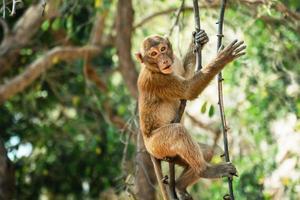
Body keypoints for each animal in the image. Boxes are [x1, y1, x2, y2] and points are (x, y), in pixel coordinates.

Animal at [136, 30, 246, 199]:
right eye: (153, 54)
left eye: (162, 49)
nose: (164, 60)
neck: (153, 68)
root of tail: (149, 150)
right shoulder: (158, 79)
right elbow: (188, 90)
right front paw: (223, 57)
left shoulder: (175, 61)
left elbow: (186, 77)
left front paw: (198, 39)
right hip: (158, 145)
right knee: (177, 132)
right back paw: (205, 171)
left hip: (171, 154)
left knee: (206, 152)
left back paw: (180, 186)